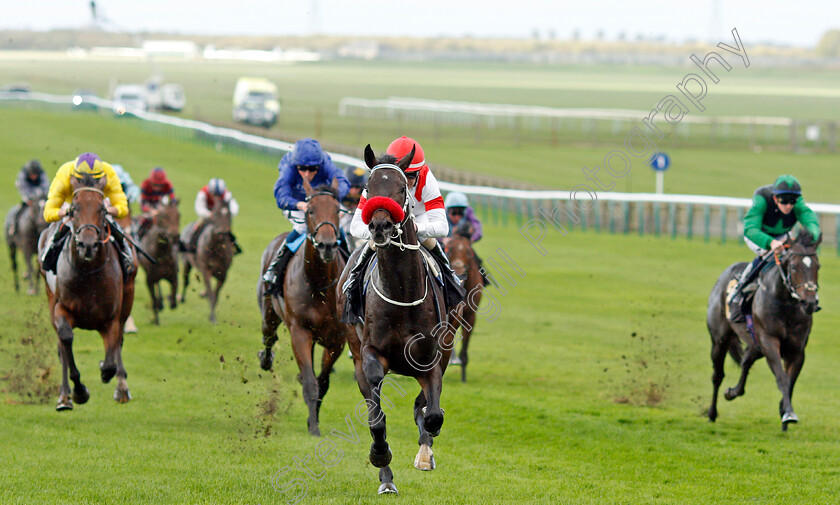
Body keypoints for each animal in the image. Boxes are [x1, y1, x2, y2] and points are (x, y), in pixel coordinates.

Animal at [36, 174, 135, 410]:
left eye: (101, 209)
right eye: (74, 208)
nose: (87, 245)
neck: (88, 273)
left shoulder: (111, 318)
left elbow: (110, 362)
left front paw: (112, 378)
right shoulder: (61, 308)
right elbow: (65, 339)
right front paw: (79, 392)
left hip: (128, 298)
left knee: (118, 343)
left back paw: (121, 388)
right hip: (50, 298)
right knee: (62, 345)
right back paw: (64, 397)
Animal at [138, 195, 180, 324]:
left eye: (179, 215)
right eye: (164, 216)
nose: (175, 236)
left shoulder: (173, 276)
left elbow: (173, 301)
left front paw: (169, 299)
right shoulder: (149, 280)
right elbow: (154, 298)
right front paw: (156, 313)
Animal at [254, 176, 350, 434]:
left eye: (337, 210)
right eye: (310, 210)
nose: (327, 245)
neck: (320, 284)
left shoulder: (337, 339)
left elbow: (323, 382)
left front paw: (312, 420)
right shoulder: (300, 331)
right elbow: (310, 383)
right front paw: (314, 427)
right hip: (269, 312)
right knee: (268, 336)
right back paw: (266, 359)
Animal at [708, 230, 820, 432]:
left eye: (818, 267)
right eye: (793, 267)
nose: (809, 303)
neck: (786, 304)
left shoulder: (796, 351)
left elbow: (790, 382)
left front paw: (785, 414)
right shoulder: (769, 342)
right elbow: (782, 378)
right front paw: (788, 414)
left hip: (755, 345)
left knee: (745, 361)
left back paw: (732, 392)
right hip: (720, 339)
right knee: (717, 375)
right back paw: (712, 414)